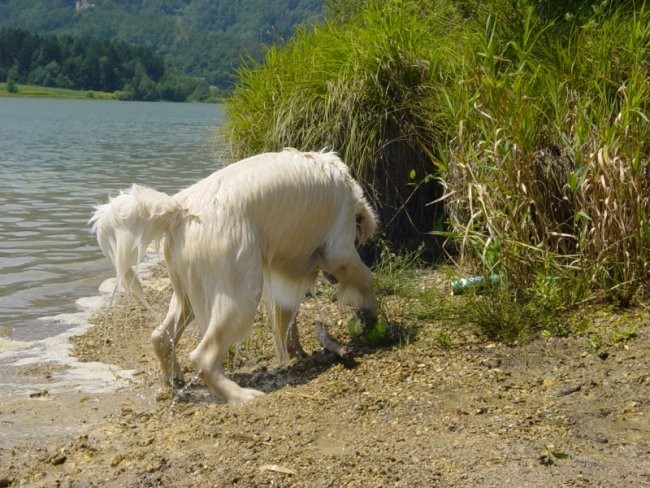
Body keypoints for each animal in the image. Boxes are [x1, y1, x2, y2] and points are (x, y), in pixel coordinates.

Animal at [88, 150, 378, 404]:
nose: (330, 280)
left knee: (161, 335)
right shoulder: (339, 248)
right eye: (357, 238)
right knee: (203, 356)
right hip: (241, 291)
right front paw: (371, 316)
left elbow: (286, 314)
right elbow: (366, 279)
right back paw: (241, 396)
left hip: (190, 289)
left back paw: (174, 377)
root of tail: (180, 209)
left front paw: (295, 347)